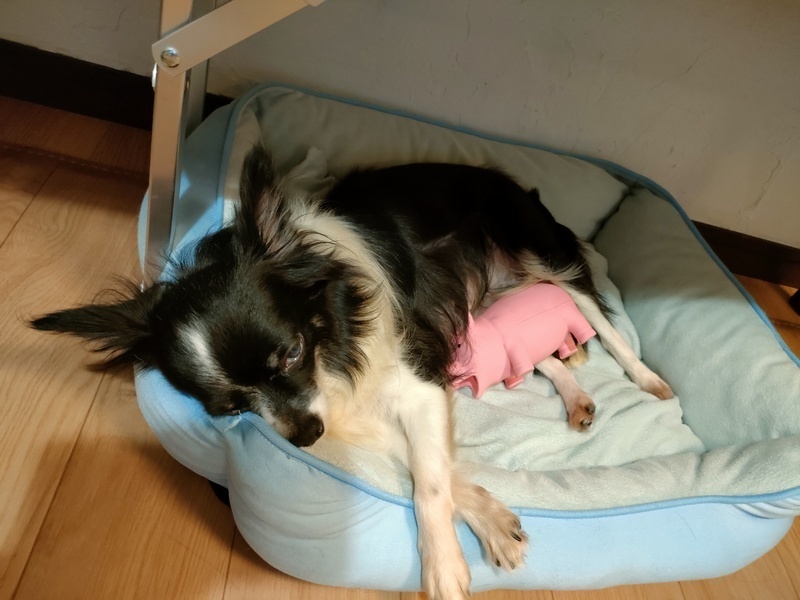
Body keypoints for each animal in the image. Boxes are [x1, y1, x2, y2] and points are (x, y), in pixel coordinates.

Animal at [31, 146, 673, 599]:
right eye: (231, 407)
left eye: (291, 353)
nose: (306, 438)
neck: (332, 339)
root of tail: (515, 182)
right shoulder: (362, 404)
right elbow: (429, 469)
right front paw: (491, 520)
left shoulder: (415, 385)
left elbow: (428, 482)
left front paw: (443, 568)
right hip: (486, 304)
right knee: (538, 352)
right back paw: (576, 399)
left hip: (540, 256)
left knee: (599, 318)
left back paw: (649, 381)